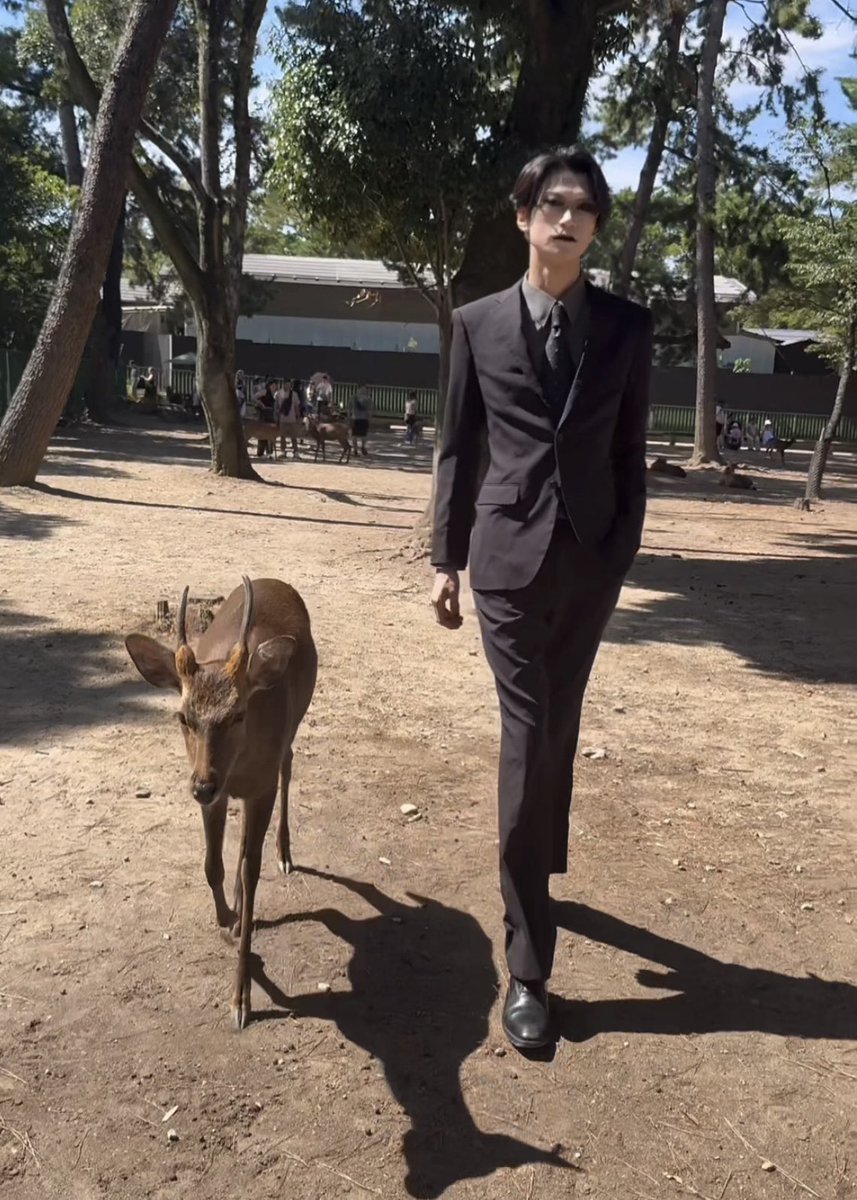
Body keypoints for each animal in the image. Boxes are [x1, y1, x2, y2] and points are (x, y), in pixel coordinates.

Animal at [124, 577, 318, 1031]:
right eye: (183, 717)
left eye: (238, 715)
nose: (201, 785)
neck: (239, 766)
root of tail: (274, 582)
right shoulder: (221, 794)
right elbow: (213, 865)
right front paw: (227, 918)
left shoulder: (260, 786)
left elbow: (251, 871)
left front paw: (241, 998)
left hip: (294, 725)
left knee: (288, 764)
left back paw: (285, 853)